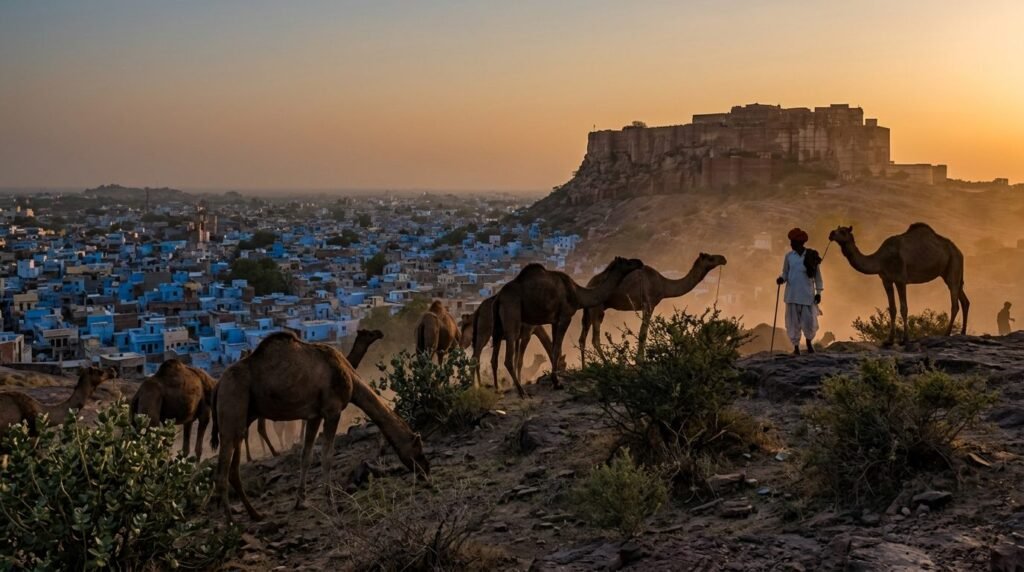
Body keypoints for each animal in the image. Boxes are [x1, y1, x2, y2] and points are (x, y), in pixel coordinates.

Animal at [491, 257, 644, 397]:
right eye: (627, 261)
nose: (639, 262)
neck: (577, 293)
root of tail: (498, 297)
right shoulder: (565, 317)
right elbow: (557, 348)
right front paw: (557, 383)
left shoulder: (554, 321)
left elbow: (554, 349)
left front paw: (555, 381)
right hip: (512, 315)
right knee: (508, 358)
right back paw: (522, 392)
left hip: (498, 329)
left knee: (495, 358)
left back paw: (499, 390)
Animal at [579, 253, 728, 364]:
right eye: (710, 258)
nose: (723, 259)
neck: (664, 285)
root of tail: (588, 284)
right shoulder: (648, 303)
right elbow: (643, 333)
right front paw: (640, 361)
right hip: (597, 308)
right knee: (595, 339)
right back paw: (608, 365)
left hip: (589, 311)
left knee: (582, 339)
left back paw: (585, 368)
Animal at [828, 223, 969, 346]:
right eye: (837, 228)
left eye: (843, 231)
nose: (831, 234)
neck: (881, 260)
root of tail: (960, 251)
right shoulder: (886, 280)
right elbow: (892, 309)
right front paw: (889, 340)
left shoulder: (900, 279)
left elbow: (904, 308)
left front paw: (905, 339)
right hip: (950, 271)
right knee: (964, 300)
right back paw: (962, 332)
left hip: (953, 265)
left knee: (955, 303)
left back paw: (947, 333)